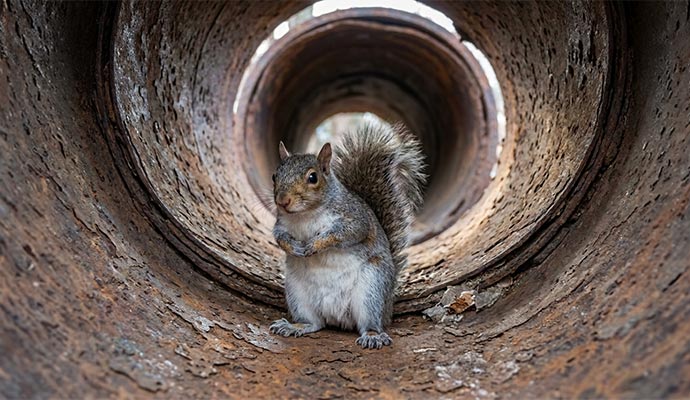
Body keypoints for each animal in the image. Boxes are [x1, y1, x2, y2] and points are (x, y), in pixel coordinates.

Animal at [268, 123, 426, 349]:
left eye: (313, 177)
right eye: (275, 176)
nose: (282, 201)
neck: (304, 215)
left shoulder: (355, 220)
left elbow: (342, 234)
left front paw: (315, 245)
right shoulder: (281, 224)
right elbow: (280, 237)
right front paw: (294, 247)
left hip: (372, 289)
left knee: (369, 322)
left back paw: (372, 335)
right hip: (297, 294)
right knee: (314, 323)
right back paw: (295, 326)